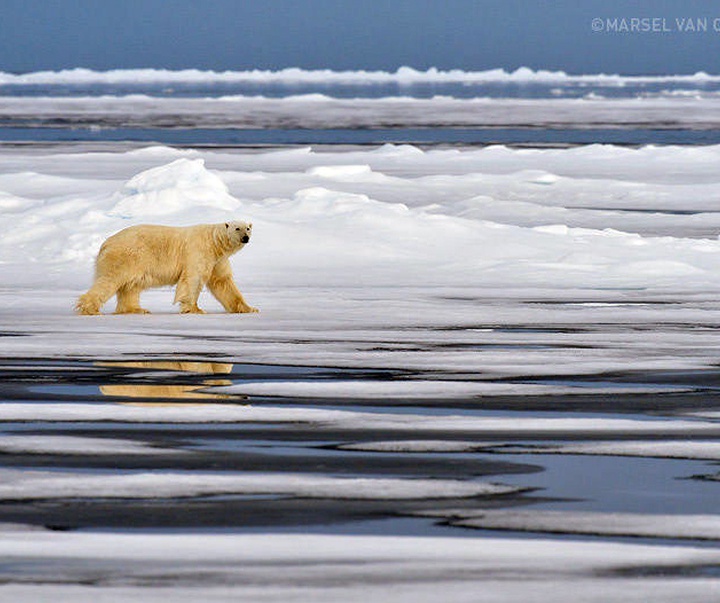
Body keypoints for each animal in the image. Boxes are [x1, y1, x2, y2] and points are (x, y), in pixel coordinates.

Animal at [75, 222, 256, 316]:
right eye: (237, 228)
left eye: (247, 228)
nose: (245, 238)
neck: (214, 242)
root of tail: (105, 243)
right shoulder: (198, 251)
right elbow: (192, 278)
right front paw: (194, 309)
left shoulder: (218, 260)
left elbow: (223, 282)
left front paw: (249, 308)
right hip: (126, 256)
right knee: (110, 280)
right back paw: (90, 308)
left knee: (130, 286)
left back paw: (136, 309)